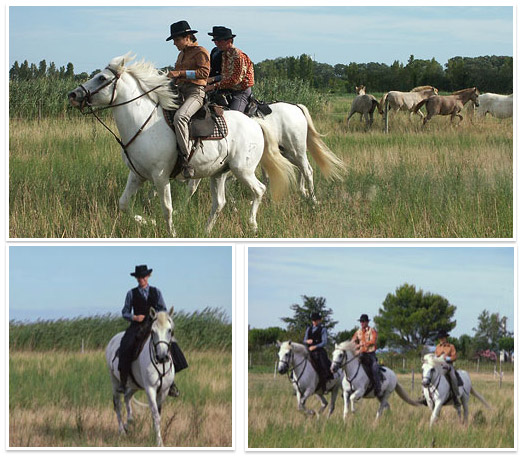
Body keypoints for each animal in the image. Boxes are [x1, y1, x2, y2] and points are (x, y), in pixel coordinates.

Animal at [66, 52, 292, 235]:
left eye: (102, 78)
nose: (73, 94)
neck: (143, 123)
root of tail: (255, 123)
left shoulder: (160, 177)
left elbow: (167, 208)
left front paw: (171, 232)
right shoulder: (137, 175)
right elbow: (124, 204)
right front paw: (147, 221)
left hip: (242, 169)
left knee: (259, 190)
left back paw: (252, 225)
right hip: (219, 173)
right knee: (219, 203)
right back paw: (206, 231)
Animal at [104, 306, 176, 446]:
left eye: (169, 330)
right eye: (152, 331)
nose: (162, 357)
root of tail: (112, 340)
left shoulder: (163, 391)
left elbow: (158, 414)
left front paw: (155, 436)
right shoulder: (150, 389)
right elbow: (155, 414)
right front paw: (159, 442)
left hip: (134, 385)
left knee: (127, 397)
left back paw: (129, 423)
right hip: (114, 381)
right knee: (117, 404)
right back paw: (122, 431)